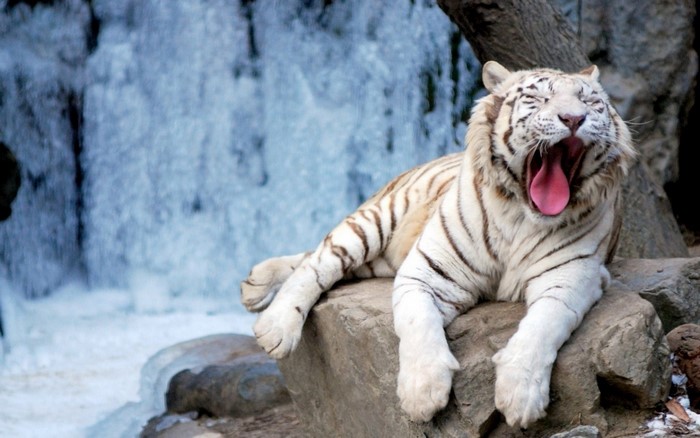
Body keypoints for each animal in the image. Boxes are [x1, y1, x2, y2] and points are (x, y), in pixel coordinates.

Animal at [240, 60, 636, 428]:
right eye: (539, 98)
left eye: (590, 101)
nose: (574, 118)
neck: (522, 217)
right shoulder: (427, 270)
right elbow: (417, 323)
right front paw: (422, 394)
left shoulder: (571, 278)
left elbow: (542, 328)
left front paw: (520, 397)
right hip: (376, 220)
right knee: (319, 260)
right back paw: (273, 324)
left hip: (380, 260)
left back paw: (254, 283)